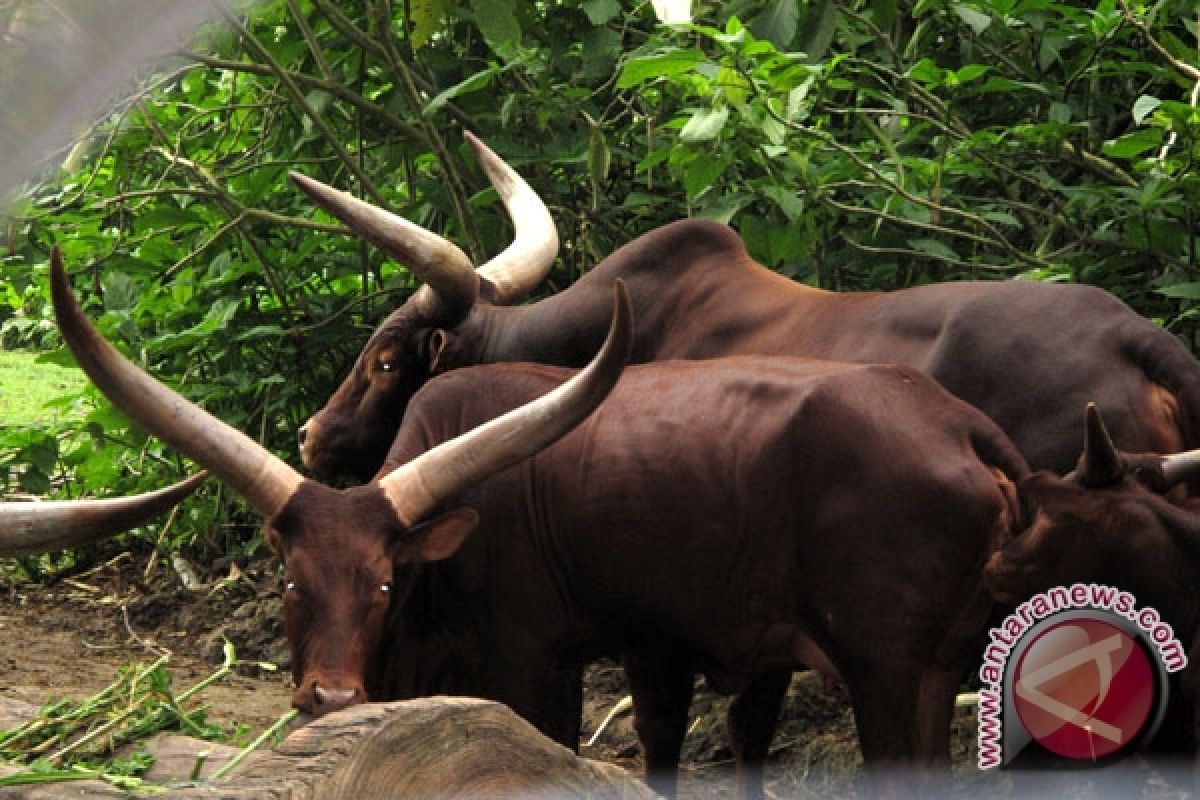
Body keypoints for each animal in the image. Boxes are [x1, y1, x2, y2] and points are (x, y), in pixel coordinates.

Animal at [46, 248, 1032, 796]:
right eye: (292, 579)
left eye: (383, 581)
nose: (330, 698)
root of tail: (960, 426)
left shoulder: (536, 663)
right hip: (931, 669)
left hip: (888, 672)